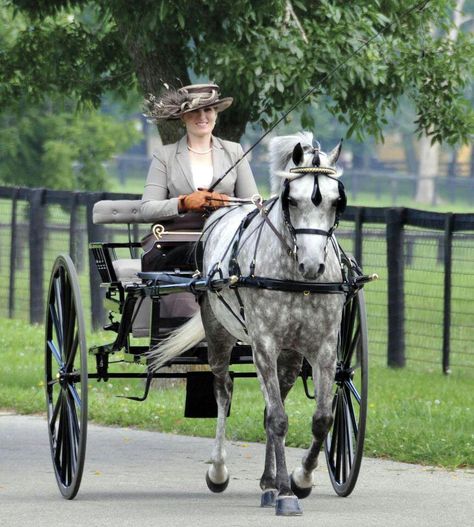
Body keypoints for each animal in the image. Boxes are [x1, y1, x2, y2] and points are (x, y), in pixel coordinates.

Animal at [150, 131, 346, 516]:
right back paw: (220, 471)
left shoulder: (325, 347)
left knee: (274, 400)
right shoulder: (263, 344)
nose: (312, 266)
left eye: (336, 201)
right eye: (291, 200)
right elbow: (278, 419)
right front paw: (286, 493)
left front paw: (300, 479)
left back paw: (268, 483)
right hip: (219, 333)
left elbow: (320, 419)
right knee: (224, 391)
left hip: (290, 353)